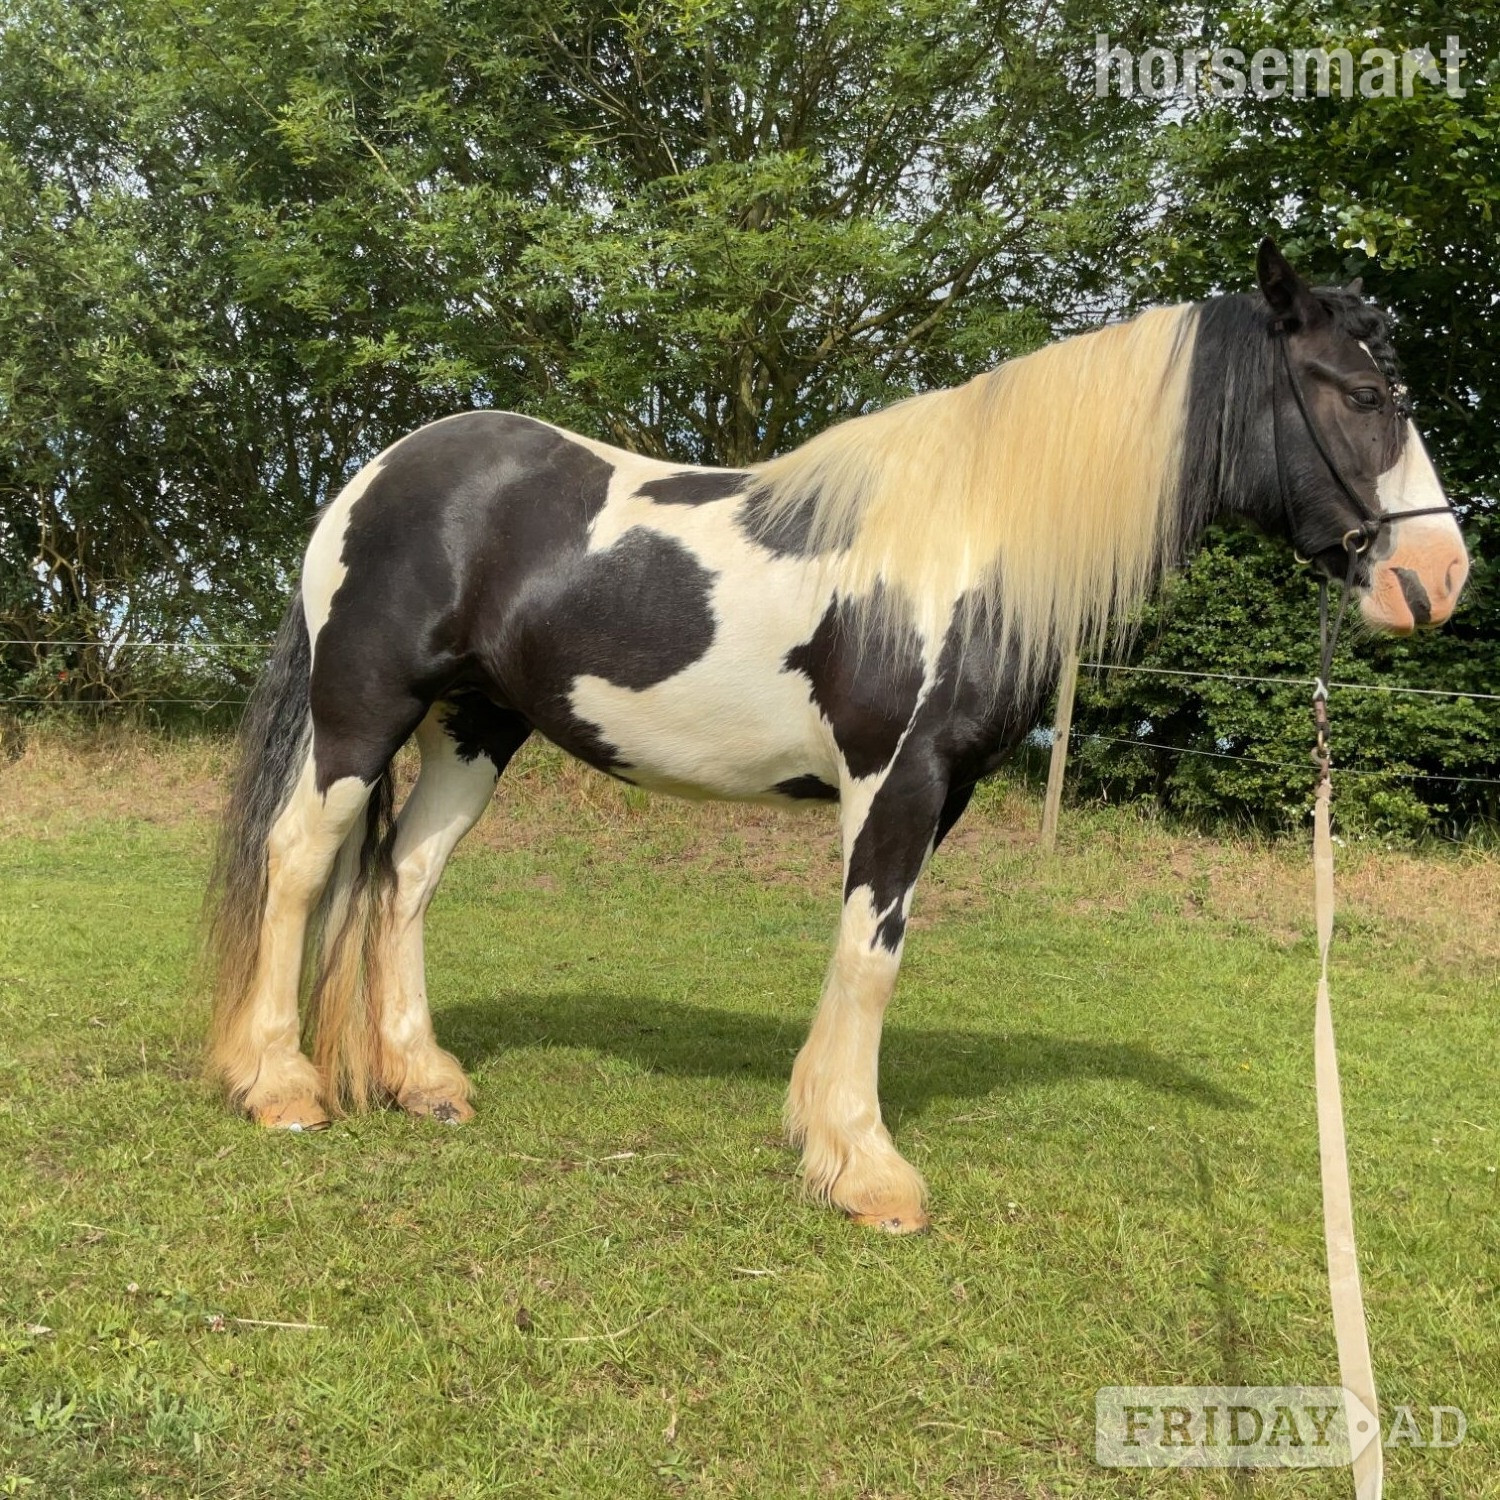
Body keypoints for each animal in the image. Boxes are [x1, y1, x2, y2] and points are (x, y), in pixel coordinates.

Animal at [206, 240, 1468, 1233]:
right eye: (1363, 393)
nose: (1440, 578)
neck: (971, 540)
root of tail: (377, 474)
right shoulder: (897, 780)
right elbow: (872, 955)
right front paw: (866, 1169)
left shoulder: (940, 793)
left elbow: (865, 954)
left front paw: (828, 1135)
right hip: (361, 714)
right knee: (301, 864)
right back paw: (278, 1087)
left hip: (476, 727)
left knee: (406, 878)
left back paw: (422, 1079)